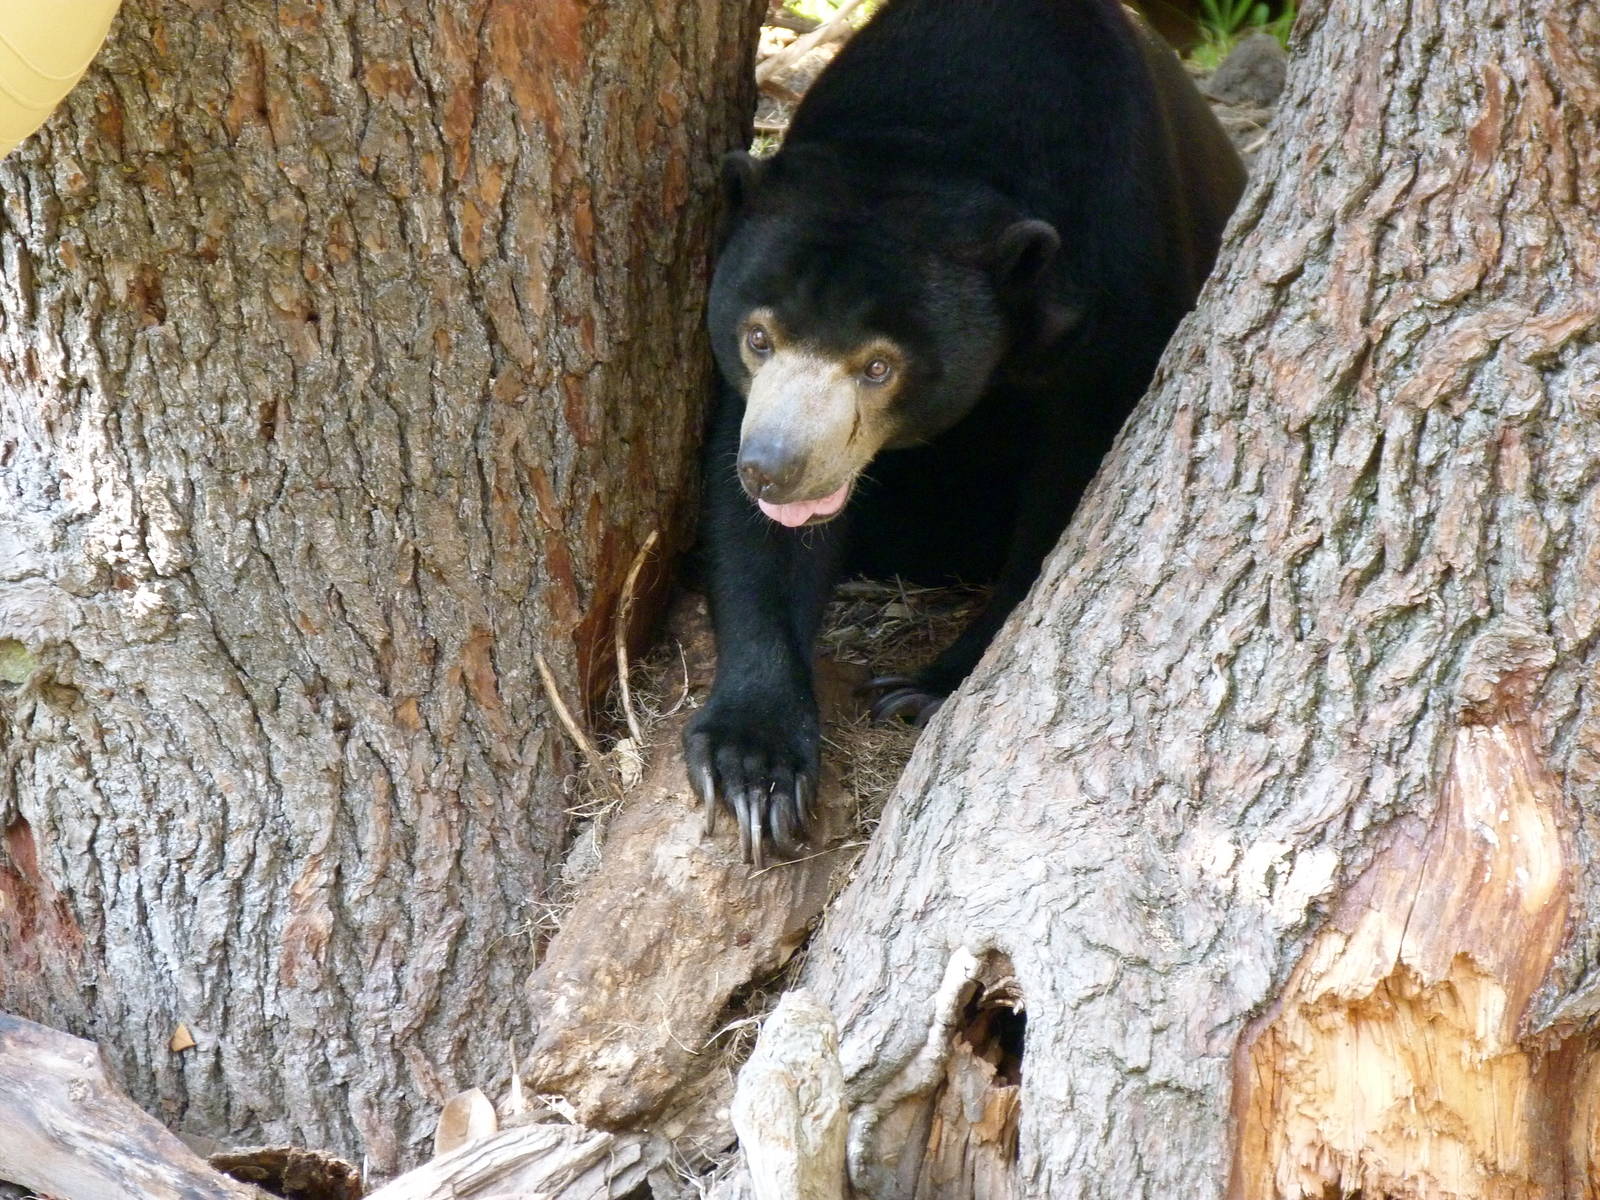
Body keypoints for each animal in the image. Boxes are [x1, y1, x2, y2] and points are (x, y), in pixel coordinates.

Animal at [686, 0, 1246, 864]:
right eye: (758, 336)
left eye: (879, 366)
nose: (775, 469)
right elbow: (754, 533)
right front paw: (753, 768)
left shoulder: (1121, 283)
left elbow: (1072, 496)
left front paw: (922, 688)